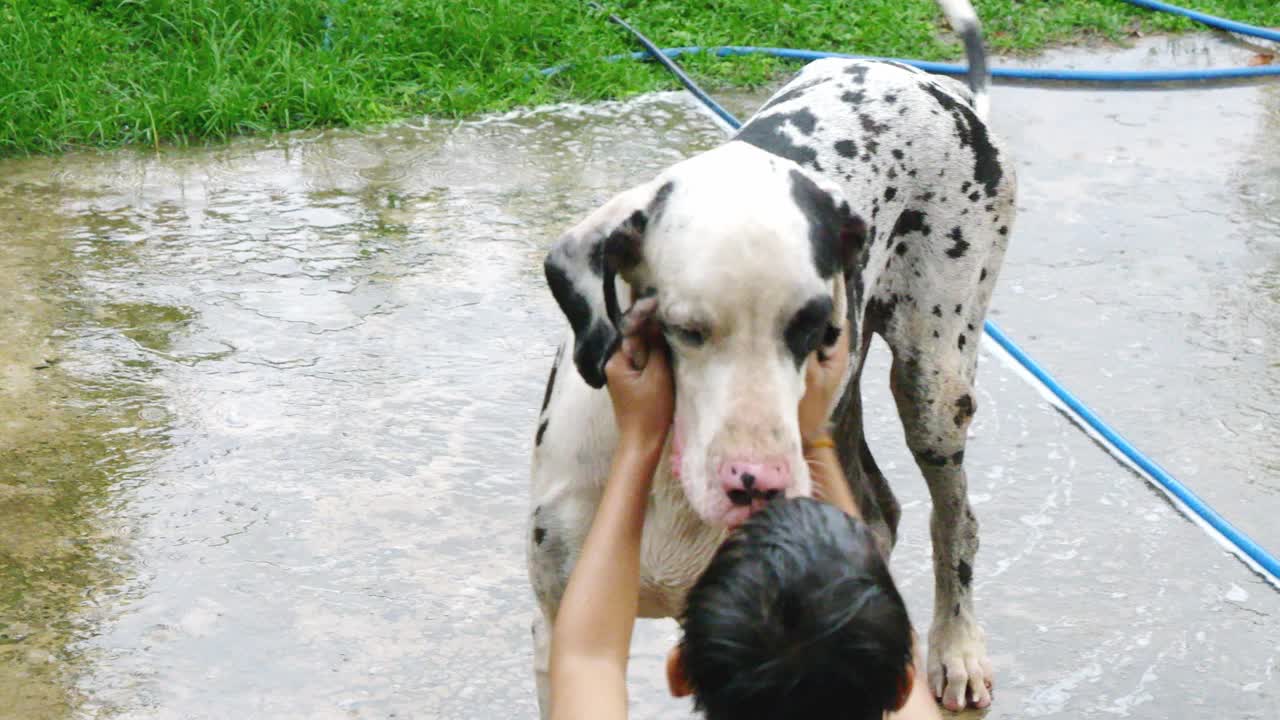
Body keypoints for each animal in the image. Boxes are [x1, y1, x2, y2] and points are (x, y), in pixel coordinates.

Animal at [524, 0, 1013, 707]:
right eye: (684, 328)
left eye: (813, 327)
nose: (756, 482)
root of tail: (943, 87)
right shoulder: (561, 628)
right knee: (883, 510)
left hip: (935, 386)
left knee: (956, 518)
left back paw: (956, 645)